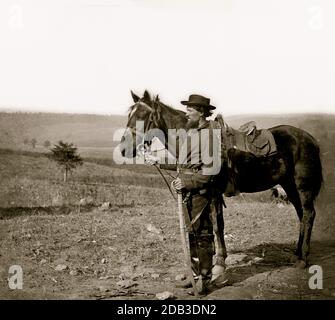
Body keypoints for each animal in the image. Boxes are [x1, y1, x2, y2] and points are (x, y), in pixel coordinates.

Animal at [120, 90, 322, 268]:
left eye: (142, 115)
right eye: (129, 114)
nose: (123, 149)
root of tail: (310, 138)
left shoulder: (214, 192)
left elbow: (218, 225)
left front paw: (220, 259)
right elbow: (214, 225)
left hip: (303, 186)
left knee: (309, 214)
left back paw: (303, 258)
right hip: (288, 185)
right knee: (301, 214)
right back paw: (297, 252)